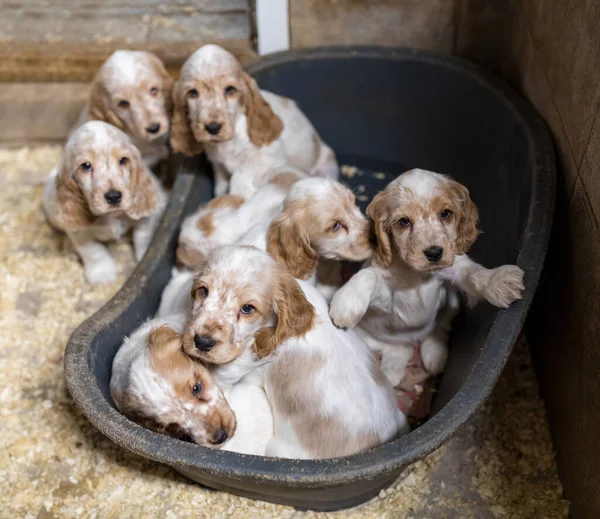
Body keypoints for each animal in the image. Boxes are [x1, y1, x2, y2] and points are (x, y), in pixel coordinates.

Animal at [43, 121, 168, 284]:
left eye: (123, 160)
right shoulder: (80, 234)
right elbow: (94, 251)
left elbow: (143, 237)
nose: (114, 196)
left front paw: (143, 258)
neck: (111, 216)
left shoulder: (144, 220)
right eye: (86, 165)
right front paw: (102, 274)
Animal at [171, 44, 340, 198]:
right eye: (193, 93)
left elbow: (239, 175)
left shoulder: (271, 160)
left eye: (230, 89)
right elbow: (220, 188)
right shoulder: (219, 166)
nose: (212, 128)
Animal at [328, 171, 524, 390]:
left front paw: (498, 281)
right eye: (404, 221)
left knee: (439, 329)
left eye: (445, 214)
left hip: (452, 302)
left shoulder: (455, 268)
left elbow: (473, 273)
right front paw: (347, 302)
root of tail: (411, 340)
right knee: (397, 350)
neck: (416, 274)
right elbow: (369, 275)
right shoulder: (387, 298)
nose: (434, 253)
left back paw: (434, 355)